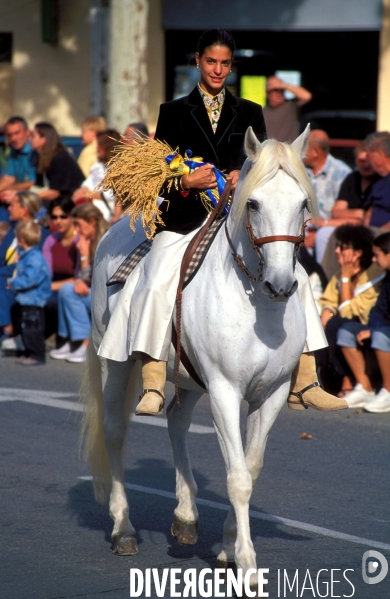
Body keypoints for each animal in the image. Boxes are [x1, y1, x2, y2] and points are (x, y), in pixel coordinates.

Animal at [81, 127, 316, 584]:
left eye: (302, 203)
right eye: (254, 203)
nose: (282, 285)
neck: (258, 306)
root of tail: (114, 231)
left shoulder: (273, 393)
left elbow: (250, 468)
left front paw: (226, 547)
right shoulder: (225, 391)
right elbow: (237, 477)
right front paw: (247, 564)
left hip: (189, 378)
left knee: (176, 421)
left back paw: (186, 517)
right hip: (114, 363)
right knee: (116, 431)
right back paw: (123, 529)